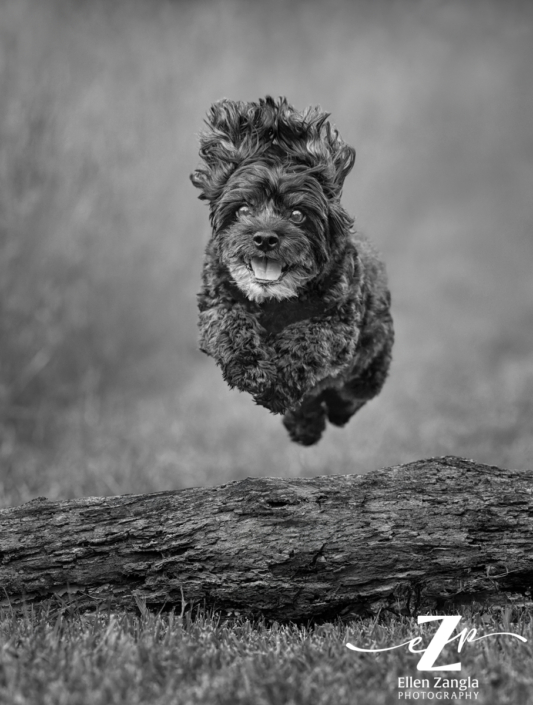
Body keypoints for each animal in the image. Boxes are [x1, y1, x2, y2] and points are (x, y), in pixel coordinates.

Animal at [189, 97, 392, 446]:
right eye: (243, 209)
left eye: (297, 214)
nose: (265, 238)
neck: (276, 302)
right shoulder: (217, 300)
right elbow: (230, 325)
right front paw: (252, 369)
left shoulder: (338, 322)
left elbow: (307, 341)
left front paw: (279, 384)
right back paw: (305, 425)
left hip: (369, 367)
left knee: (349, 394)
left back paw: (332, 413)